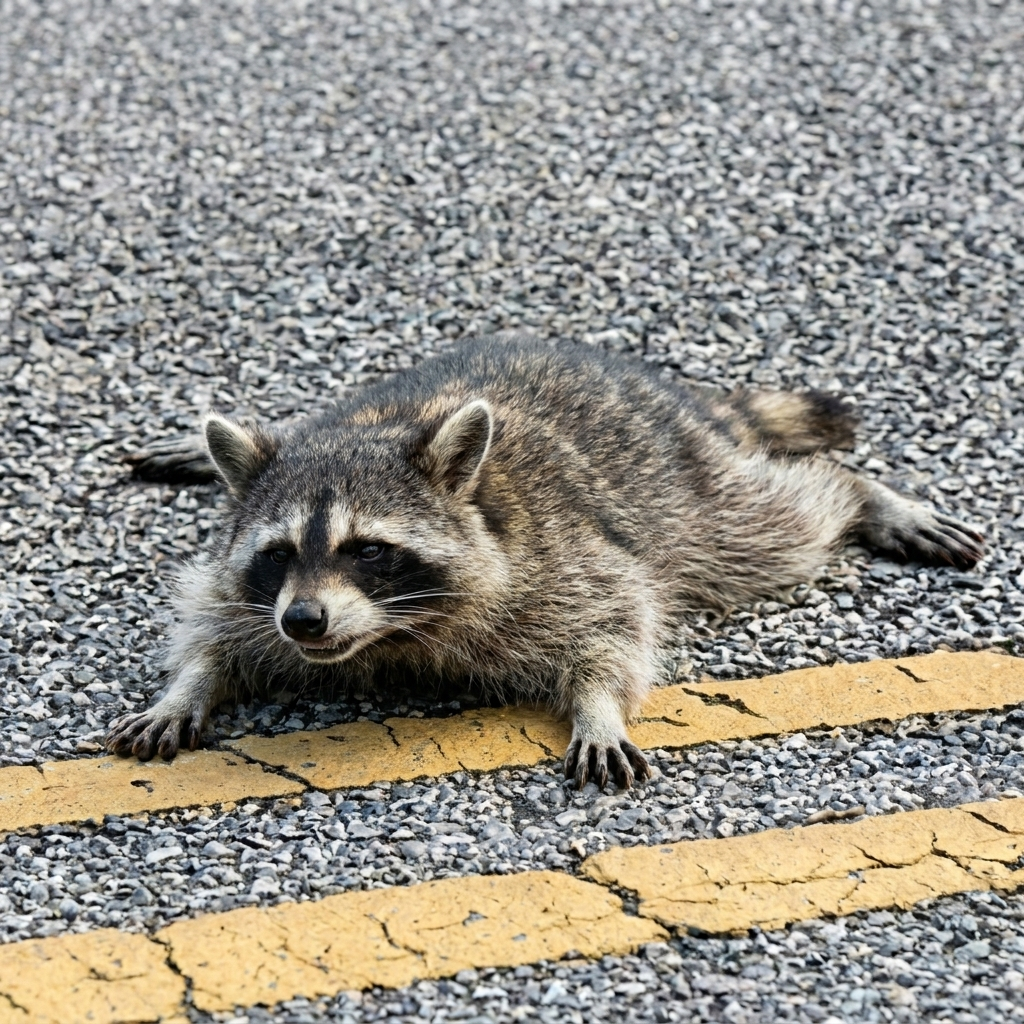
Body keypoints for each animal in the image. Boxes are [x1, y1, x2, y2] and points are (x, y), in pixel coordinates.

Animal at [107, 334, 984, 788]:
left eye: (370, 551)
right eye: (280, 552)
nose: (305, 621)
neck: (388, 636)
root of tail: (672, 393)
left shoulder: (558, 558)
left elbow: (616, 619)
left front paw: (598, 704)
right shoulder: (249, 583)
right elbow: (214, 620)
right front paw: (189, 683)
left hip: (687, 493)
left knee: (776, 521)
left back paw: (862, 493)